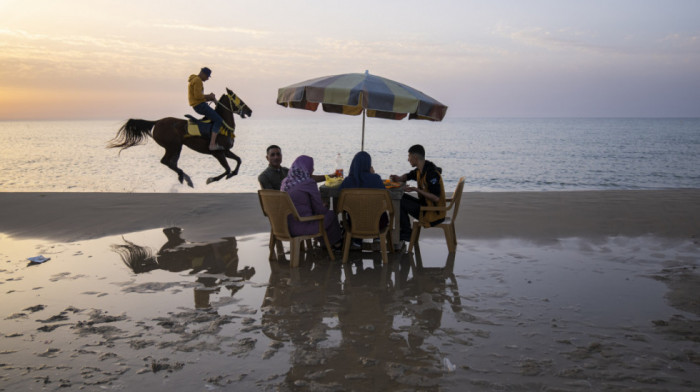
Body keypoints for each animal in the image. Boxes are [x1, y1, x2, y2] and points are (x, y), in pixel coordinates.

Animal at [108, 89, 253, 187]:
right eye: (238, 99)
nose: (250, 111)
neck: (223, 125)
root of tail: (157, 122)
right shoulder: (217, 153)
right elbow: (227, 169)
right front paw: (211, 179)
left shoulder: (226, 151)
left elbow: (238, 160)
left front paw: (232, 174)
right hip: (173, 146)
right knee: (166, 161)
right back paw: (186, 178)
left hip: (176, 147)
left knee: (171, 163)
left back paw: (184, 177)